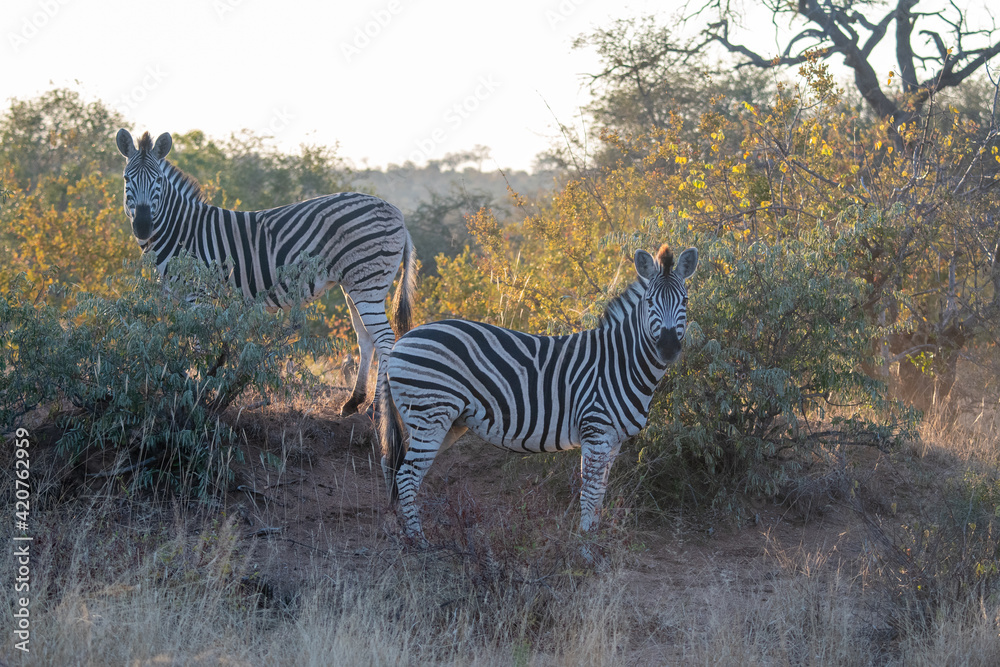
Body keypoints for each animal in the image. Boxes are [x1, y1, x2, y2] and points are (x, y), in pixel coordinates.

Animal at [115, 129, 417, 416]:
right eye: (126, 179)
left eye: (158, 181)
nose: (142, 226)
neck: (182, 230)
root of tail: (398, 213)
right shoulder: (176, 295)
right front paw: (188, 388)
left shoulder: (197, 293)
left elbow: (198, 344)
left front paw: (196, 393)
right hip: (353, 283)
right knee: (366, 338)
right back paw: (353, 403)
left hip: (368, 281)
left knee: (385, 338)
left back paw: (376, 408)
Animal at [379, 243, 698, 541]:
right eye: (650, 301)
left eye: (684, 300)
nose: (668, 348)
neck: (619, 362)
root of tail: (401, 342)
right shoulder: (595, 432)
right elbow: (590, 494)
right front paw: (585, 549)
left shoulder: (613, 440)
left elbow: (600, 496)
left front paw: (596, 542)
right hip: (430, 415)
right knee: (406, 476)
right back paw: (419, 543)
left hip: (443, 424)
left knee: (397, 470)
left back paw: (400, 533)